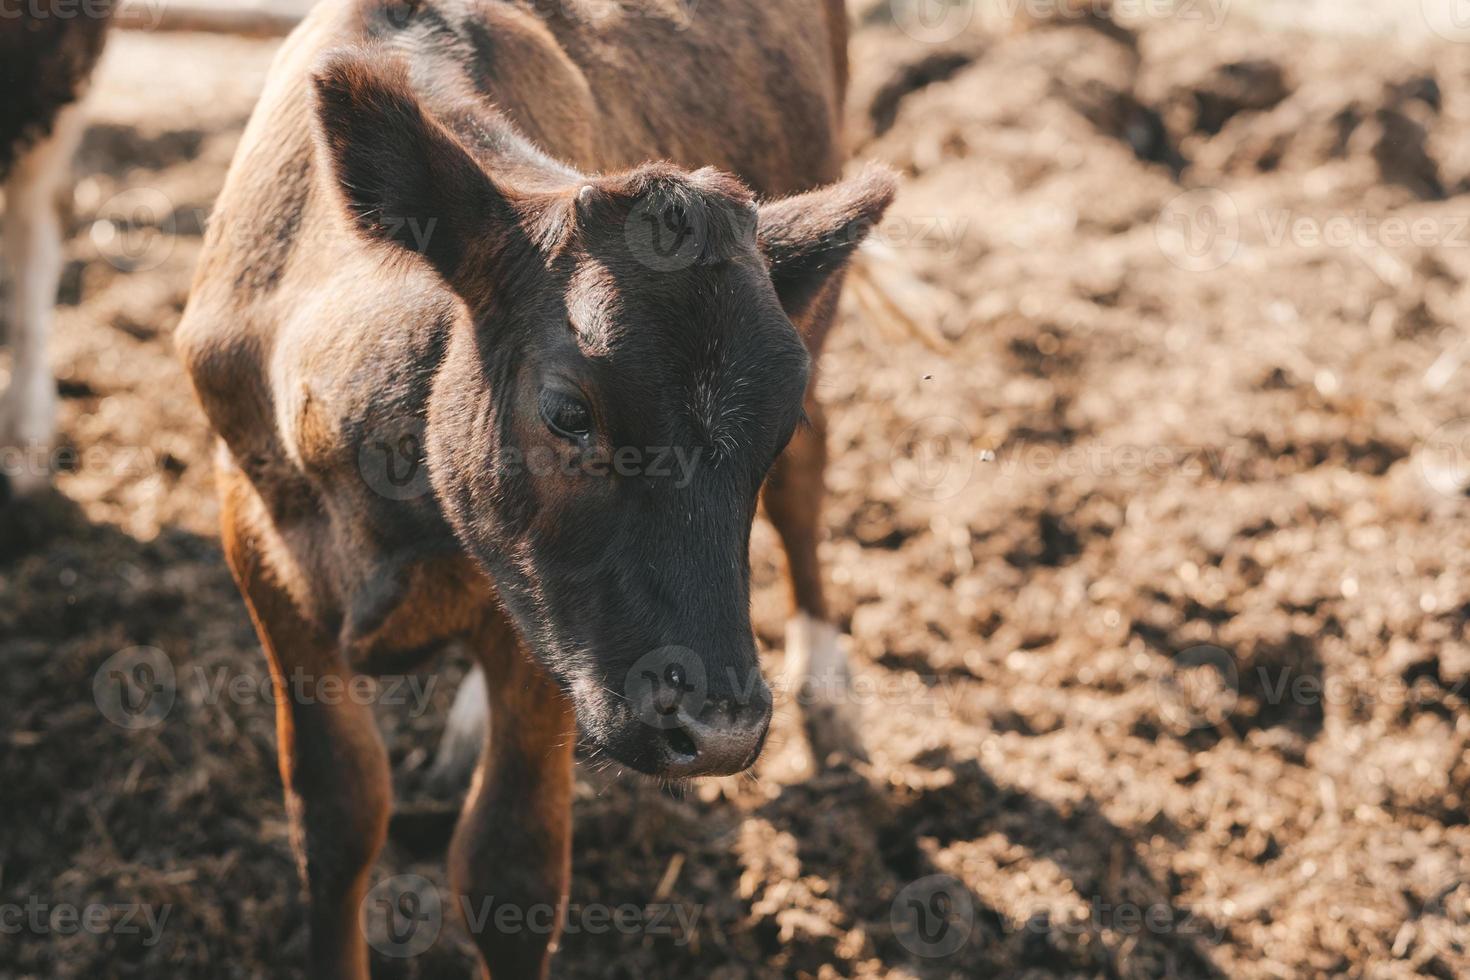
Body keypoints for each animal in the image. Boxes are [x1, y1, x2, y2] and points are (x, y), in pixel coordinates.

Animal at [183, 3, 893, 975]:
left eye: (773, 423)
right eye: (567, 411)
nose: (721, 731)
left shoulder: (542, 629)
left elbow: (508, 866)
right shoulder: (261, 551)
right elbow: (335, 819)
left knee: (806, 494)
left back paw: (827, 691)